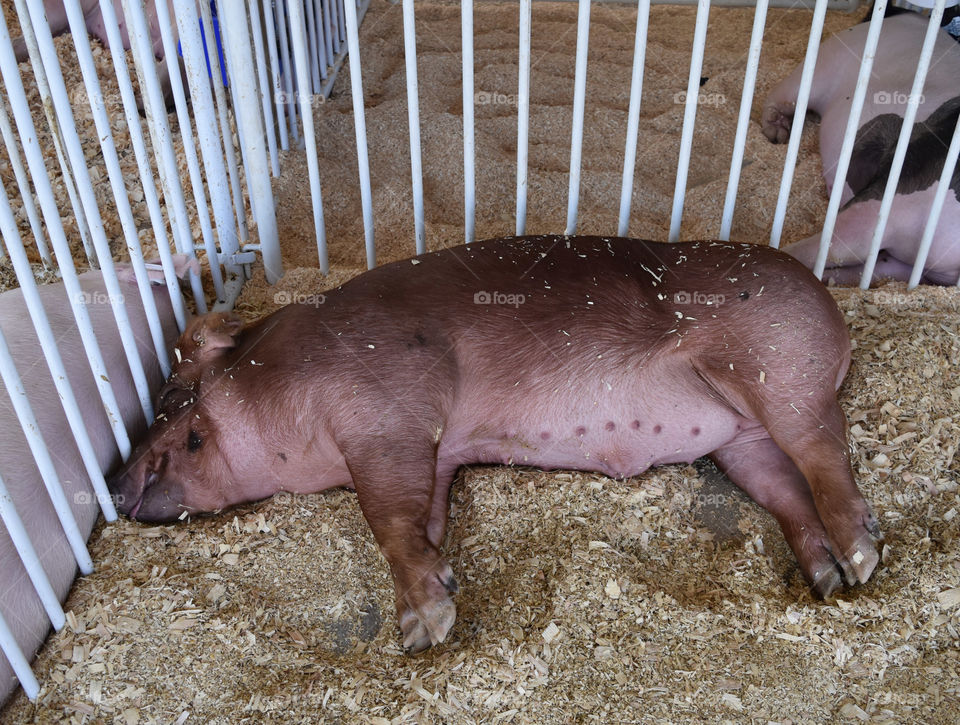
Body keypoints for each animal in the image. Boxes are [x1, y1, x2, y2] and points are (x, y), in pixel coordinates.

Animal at [109, 236, 880, 652]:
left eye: (172, 399)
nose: (113, 483)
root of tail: (835, 313)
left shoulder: (388, 412)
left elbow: (386, 518)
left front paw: (422, 630)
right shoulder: (436, 454)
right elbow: (423, 518)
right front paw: (443, 584)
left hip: (781, 374)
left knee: (827, 457)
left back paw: (861, 556)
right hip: (741, 439)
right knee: (789, 490)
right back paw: (826, 578)